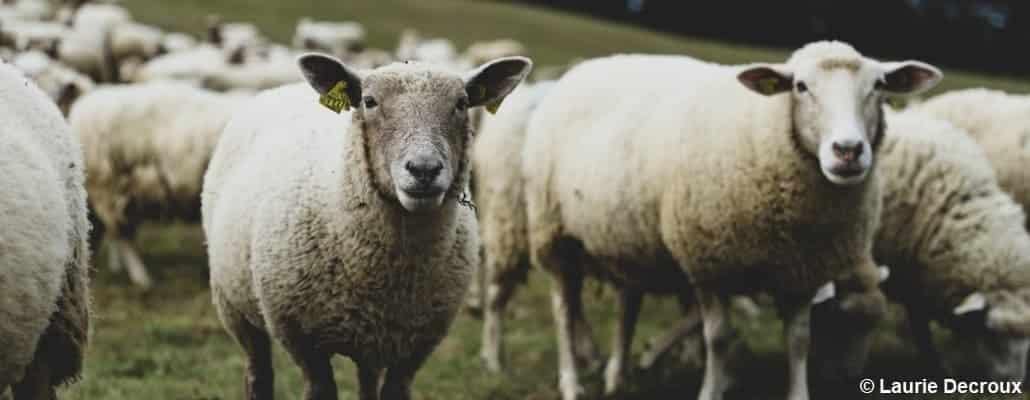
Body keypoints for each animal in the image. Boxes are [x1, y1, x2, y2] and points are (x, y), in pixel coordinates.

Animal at [200, 53, 531, 399]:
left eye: (462, 103)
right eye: (369, 101)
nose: (424, 170)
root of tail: (281, 88)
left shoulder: (414, 346)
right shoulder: (303, 340)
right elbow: (319, 389)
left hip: (371, 341)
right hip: (232, 303)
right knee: (258, 371)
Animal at [523, 42, 943, 397]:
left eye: (879, 86)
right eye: (801, 86)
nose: (848, 150)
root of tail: (589, 67)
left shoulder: (802, 272)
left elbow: (799, 340)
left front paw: (798, 392)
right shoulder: (707, 264)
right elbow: (719, 337)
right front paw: (711, 389)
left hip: (627, 239)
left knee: (628, 305)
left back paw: (617, 376)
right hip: (553, 234)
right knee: (563, 311)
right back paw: (572, 382)